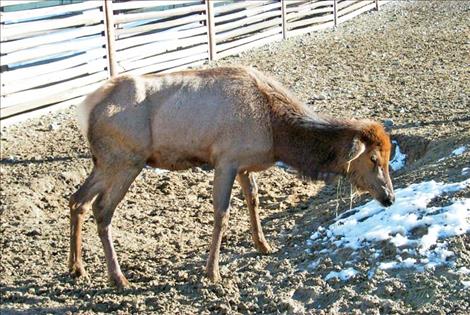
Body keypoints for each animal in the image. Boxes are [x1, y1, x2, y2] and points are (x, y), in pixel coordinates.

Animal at [69, 67, 392, 288]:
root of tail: (85, 109)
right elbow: (222, 213)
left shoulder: (244, 166)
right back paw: (118, 278)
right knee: (102, 209)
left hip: (104, 162)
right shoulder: (225, 159)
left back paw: (76, 267)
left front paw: (264, 246)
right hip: (127, 160)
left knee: (77, 200)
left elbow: (254, 201)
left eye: (389, 158)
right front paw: (212, 272)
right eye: (374, 159)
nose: (389, 197)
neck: (277, 134)